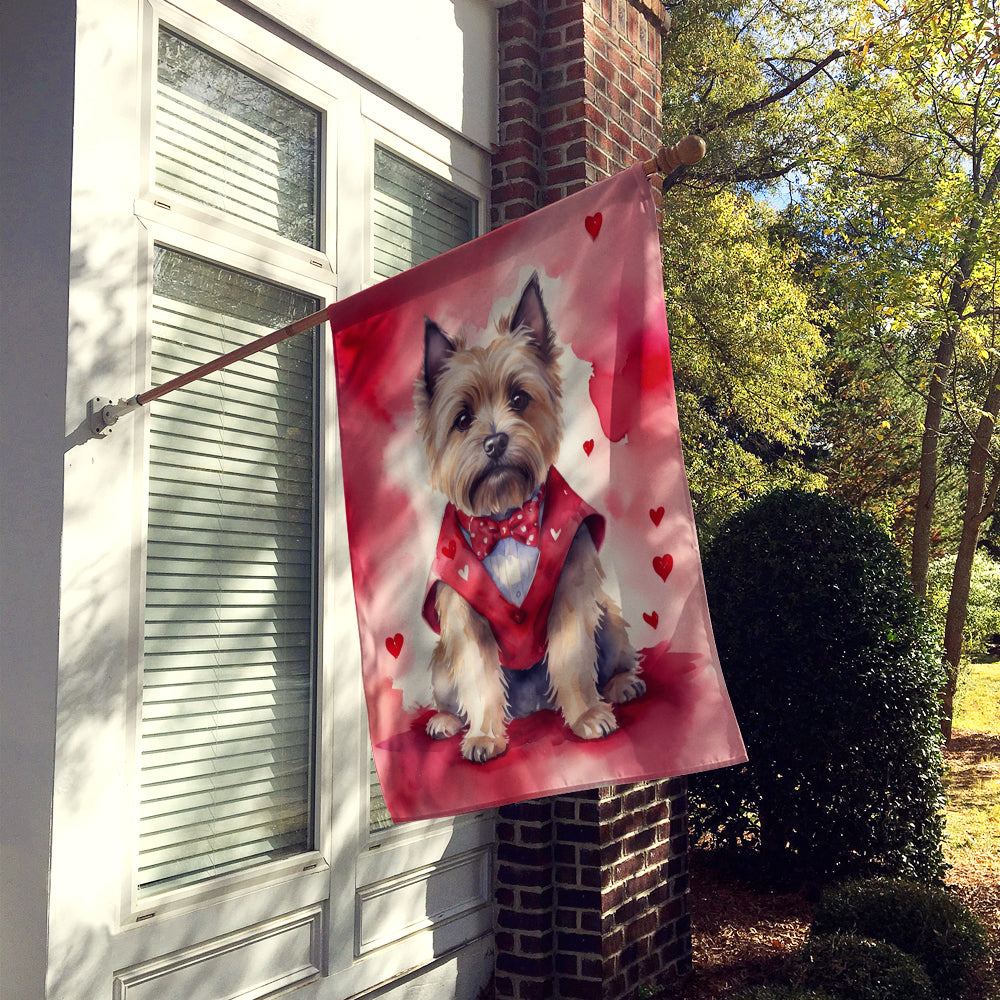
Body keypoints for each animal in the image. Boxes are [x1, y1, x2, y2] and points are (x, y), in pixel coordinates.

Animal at [412, 270, 640, 760]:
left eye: (519, 398)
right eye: (462, 419)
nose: (495, 441)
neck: (503, 520)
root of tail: (533, 707)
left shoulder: (571, 587)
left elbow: (573, 658)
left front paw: (586, 716)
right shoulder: (463, 615)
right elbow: (478, 677)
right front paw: (483, 736)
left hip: (609, 617)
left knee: (612, 656)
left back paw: (622, 684)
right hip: (440, 659)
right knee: (452, 691)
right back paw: (446, 721)